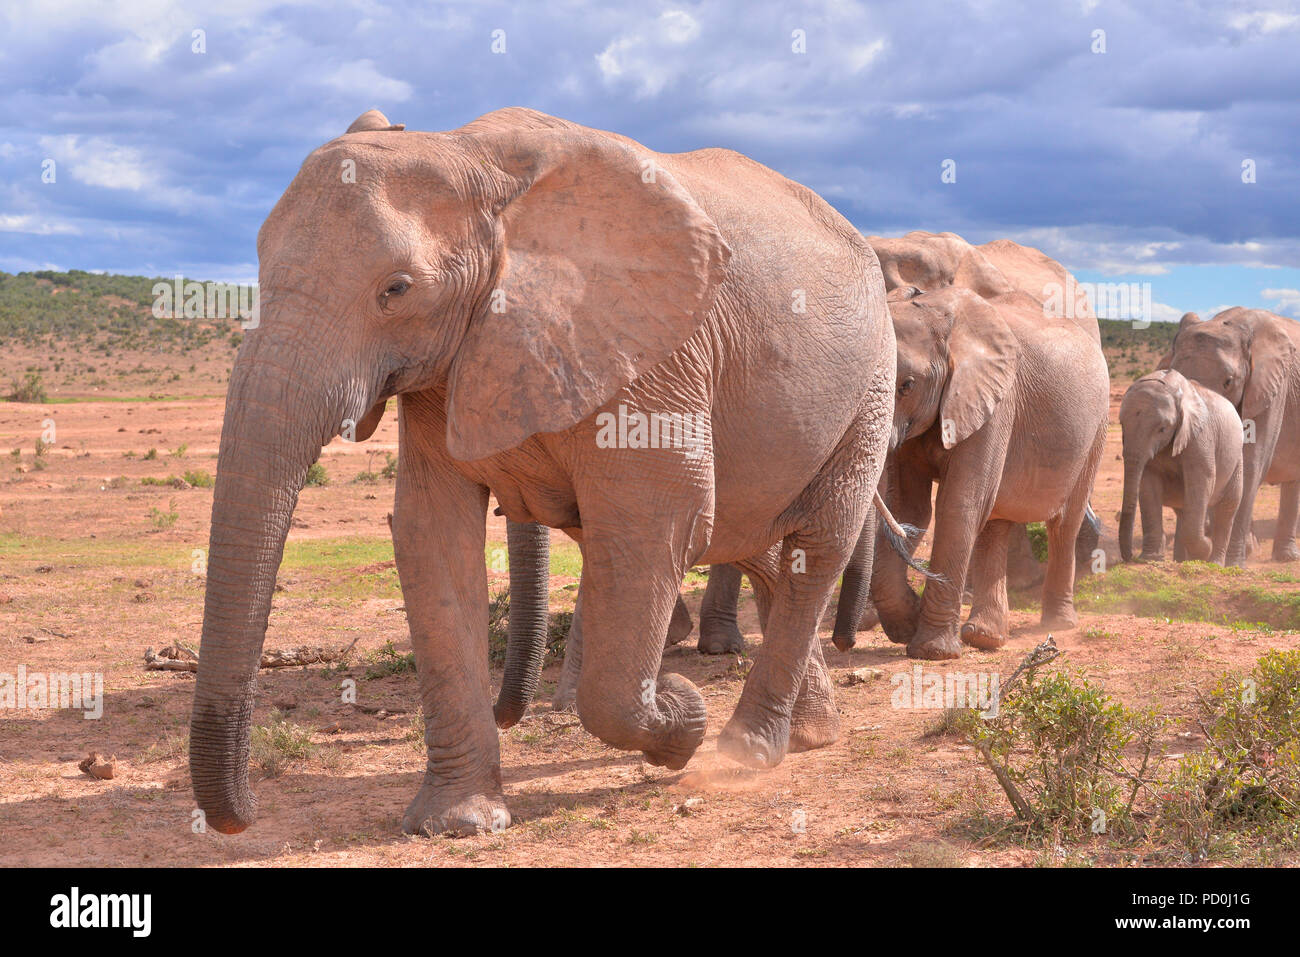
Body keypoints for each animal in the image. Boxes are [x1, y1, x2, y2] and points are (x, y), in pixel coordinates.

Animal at [189, 106, 904, 837]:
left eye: (397, 290)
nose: (241, 818)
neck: (473, 160)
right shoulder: (456, 363)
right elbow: (430, 532)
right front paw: (458, 823)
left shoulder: (655, 351)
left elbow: (656, 521)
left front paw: (680, 719)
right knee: (754, 540)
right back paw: (809, 734)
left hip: (873, 379)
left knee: (815, 544)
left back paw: (745, 752)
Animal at [1112, 366, 1242, 561]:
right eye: (1121, 424)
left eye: (1163, 429)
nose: (1129, 557)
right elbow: (1147, 483)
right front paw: (1150, 558)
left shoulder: (1200, 436)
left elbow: (1201, 480)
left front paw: (1205, 549)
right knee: (1184, 511)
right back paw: (1182, 560)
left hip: (1237, 458)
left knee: (1227, 509)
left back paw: (1214, 561)